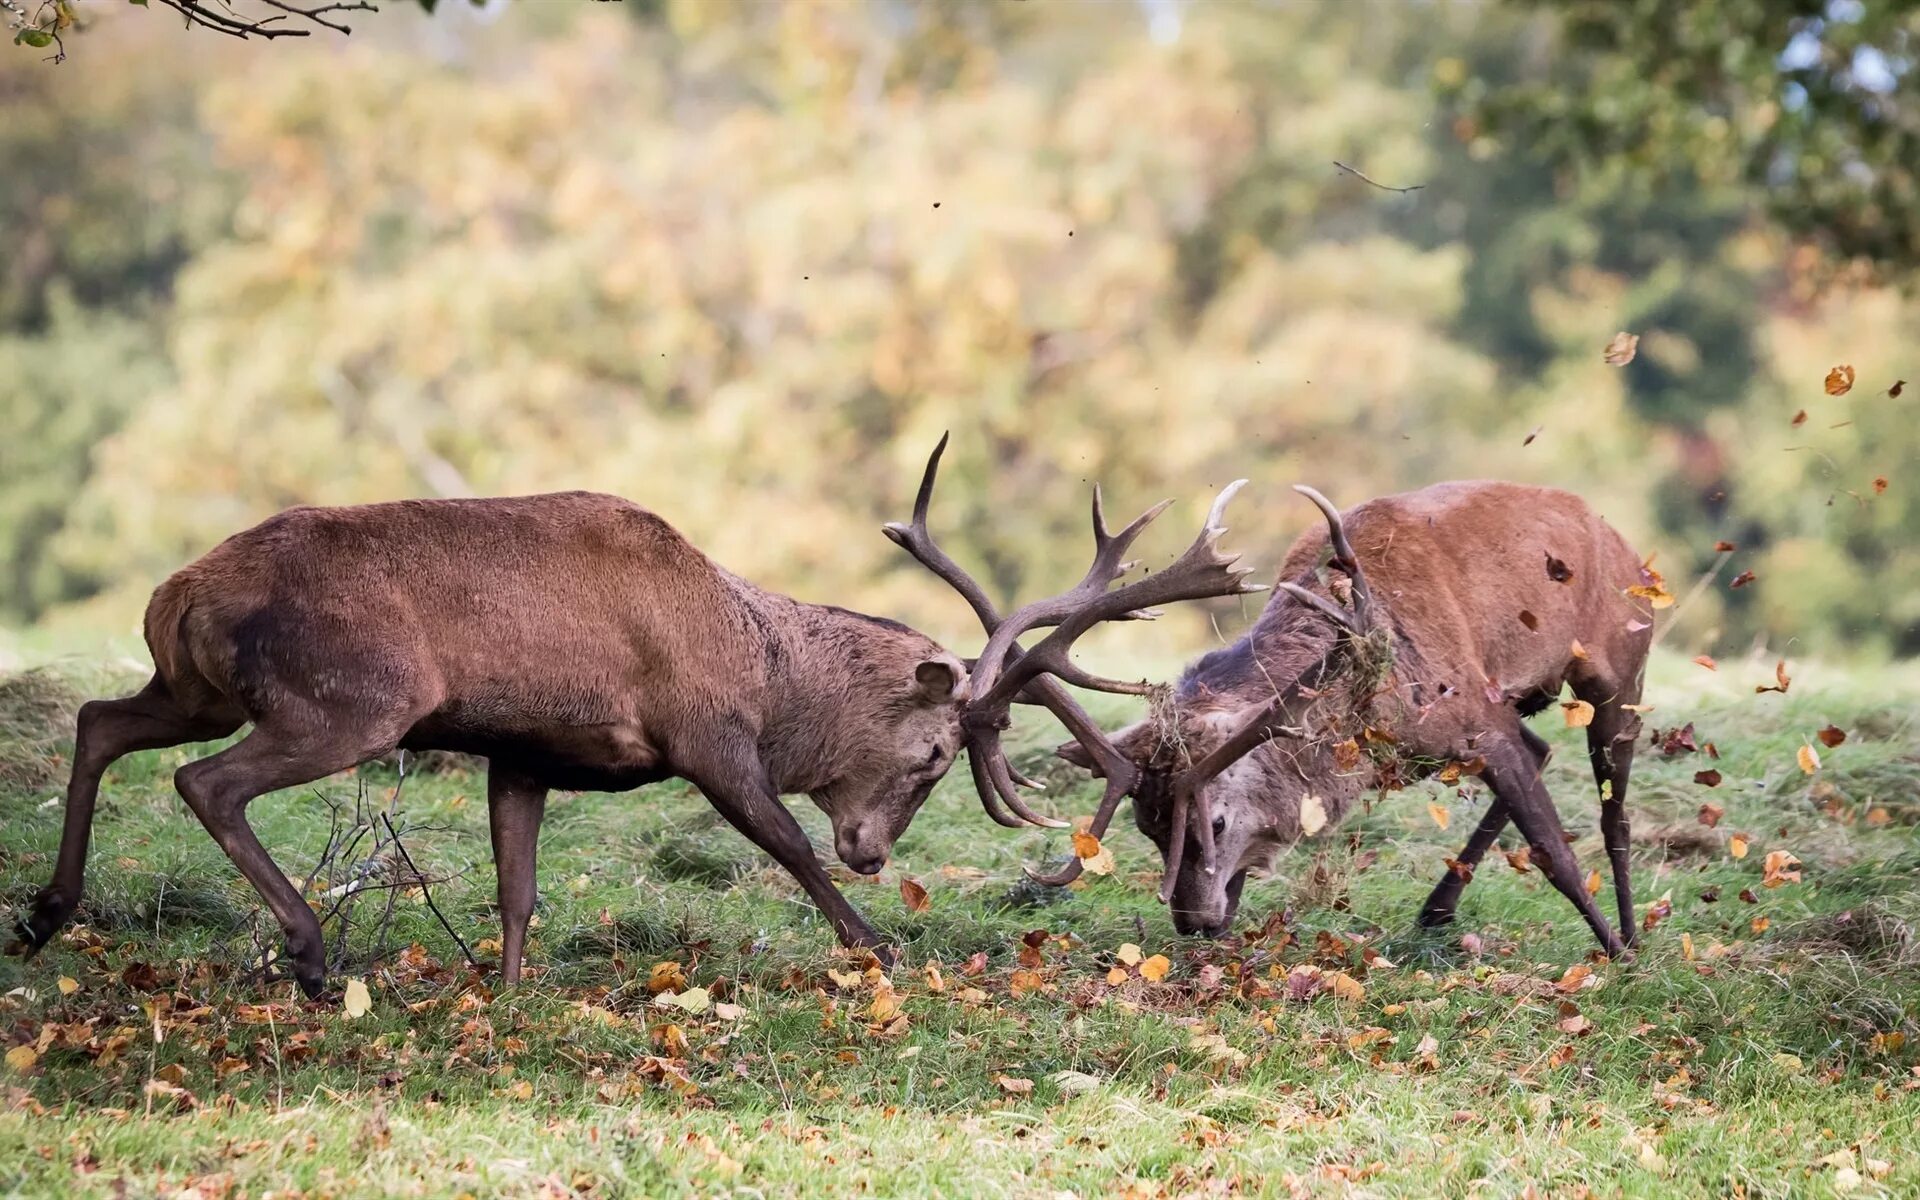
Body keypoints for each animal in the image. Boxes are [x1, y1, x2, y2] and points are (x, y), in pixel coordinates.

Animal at [15, 458, 1259, 990]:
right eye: (940, 751)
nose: (877, 849)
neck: (759, 663)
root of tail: (179, 593)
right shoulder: (706, 732)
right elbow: (784, 844)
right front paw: (877, 946)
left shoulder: (520, 752)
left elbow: (517, 889)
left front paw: (505, 992)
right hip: (351, 700)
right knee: (206, 783)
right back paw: (312, 954)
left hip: (197, 684)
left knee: (99, 719)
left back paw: (45, 911)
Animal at [898, 460, 1651, 956]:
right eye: (1147, 826)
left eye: (1215, 820)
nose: (1194, 920)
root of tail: (1626, 542)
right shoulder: (1480, 722)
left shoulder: (1475, 714)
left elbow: (1553, 850)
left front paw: (1614, 951)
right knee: (1544, 748)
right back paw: (1437, 911)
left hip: (1621, 666)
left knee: (1613, 807)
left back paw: (1631, 933)